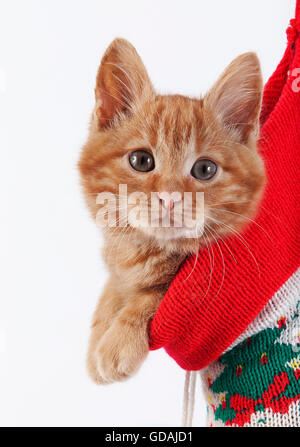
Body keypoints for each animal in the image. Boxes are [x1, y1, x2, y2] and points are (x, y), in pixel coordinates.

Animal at [78, 38, 264, 384]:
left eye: (205, 169)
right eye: (141, 160)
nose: (170, 198)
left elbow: (153, 294)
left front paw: (116, 342)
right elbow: (114, 286)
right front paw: (100, 329)